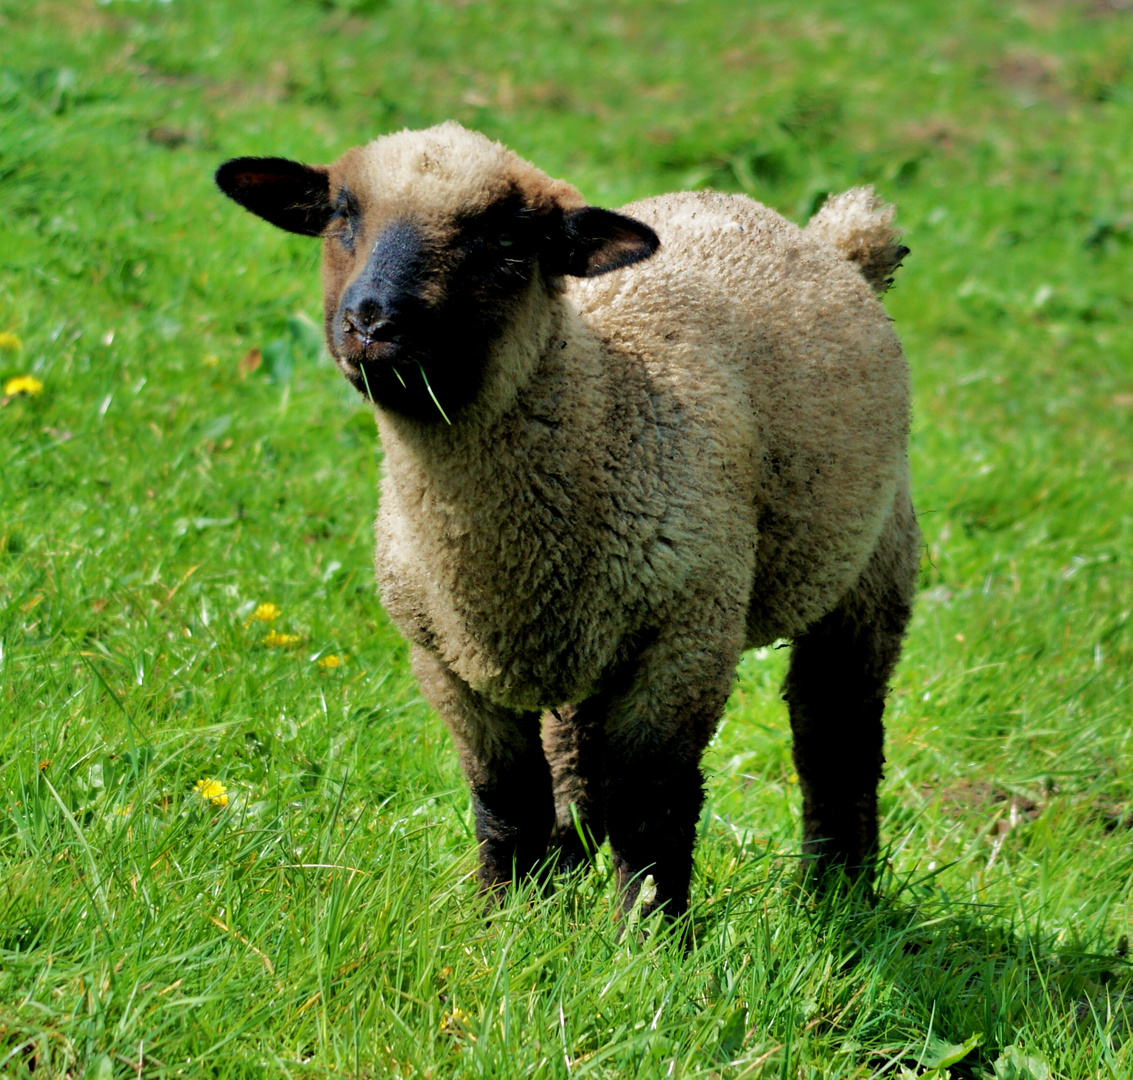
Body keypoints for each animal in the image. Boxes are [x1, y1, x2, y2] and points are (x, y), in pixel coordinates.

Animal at [214, 124, 919, 920]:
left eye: (508, 240)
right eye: (341, 214)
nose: (371, 322)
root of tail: (833, 239)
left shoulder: (686, 637)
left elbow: (652, 803)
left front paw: (648, 934)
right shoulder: (444, 657)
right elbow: (504, 796)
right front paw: (504, 917)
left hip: (870, 564)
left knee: (835, 733)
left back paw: (839, 891)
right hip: (589, 632)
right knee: (576, 750)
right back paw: (565, 861)